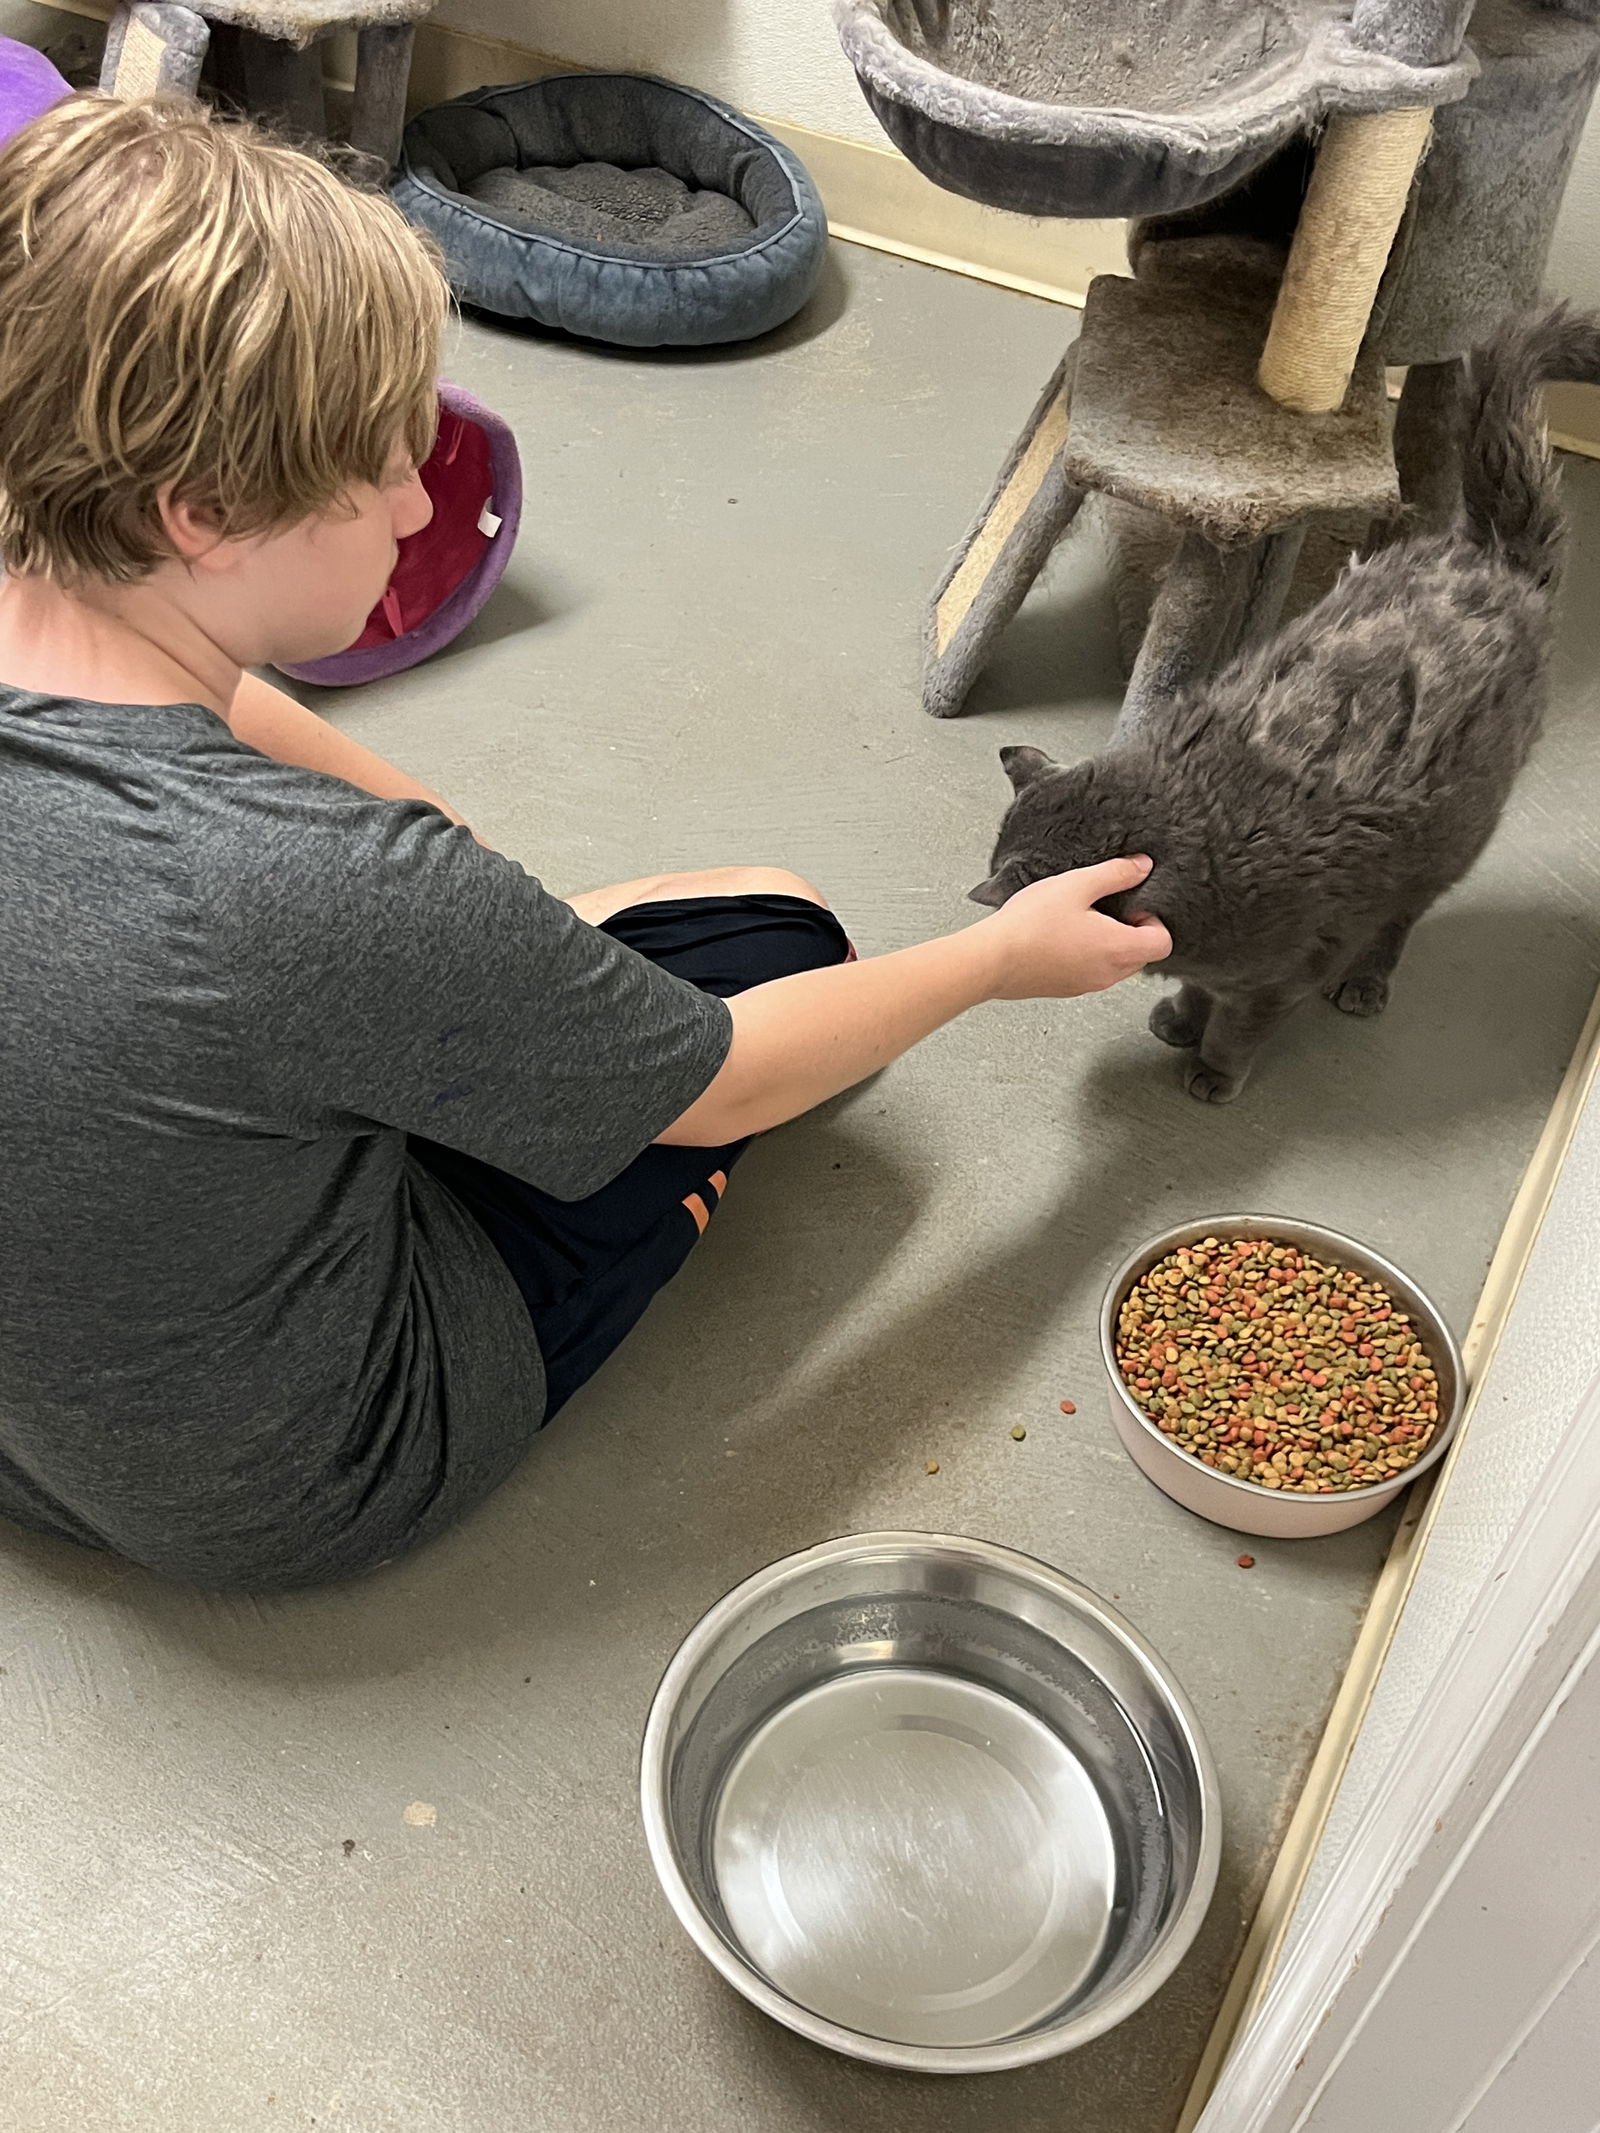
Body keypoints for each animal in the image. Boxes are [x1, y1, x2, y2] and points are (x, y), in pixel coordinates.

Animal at [972, 305, 1595, 1100]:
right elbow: (1201, 992)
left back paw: (1364, 984)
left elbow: (1239, 1024)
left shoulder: (1280, 974)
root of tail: (1493, 557)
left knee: (1399, 920)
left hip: (1448, 843)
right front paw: (1179, 1018)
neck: (1193, 834)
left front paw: (1213, 1071)